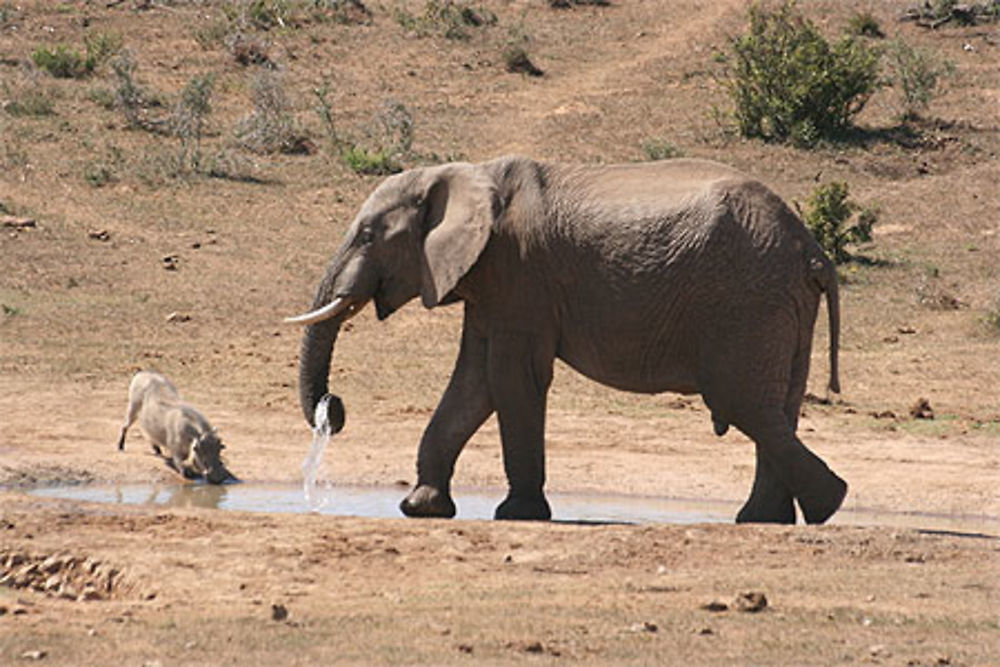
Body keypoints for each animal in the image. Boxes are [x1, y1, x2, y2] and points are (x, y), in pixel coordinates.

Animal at [286, 158, 848, 528]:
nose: (334, 409)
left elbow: (510, 379)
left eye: (366, 236)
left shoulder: (520, 274)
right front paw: (422, 509)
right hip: (779, 302)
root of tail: (811, 248)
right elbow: (473, 384)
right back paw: (767, 519)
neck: (460, 175)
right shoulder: (490, 285)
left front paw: (517, 515)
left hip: (747, 301)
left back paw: (826, 504)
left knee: (741, 399)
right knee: (775, 405)